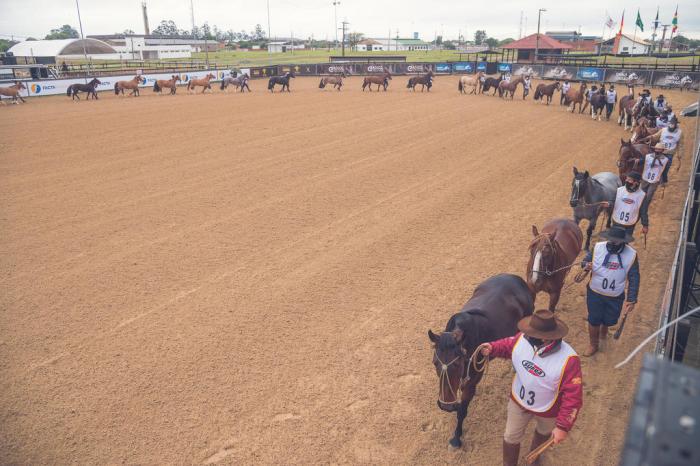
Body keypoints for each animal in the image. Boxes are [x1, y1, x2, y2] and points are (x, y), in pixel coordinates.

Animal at [426, 274, 536, 450]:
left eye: (457, 364)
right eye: (435, 362)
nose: (446, 406)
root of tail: (516, 278)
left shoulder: (472, 381)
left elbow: (462, 410)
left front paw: (456, 438)